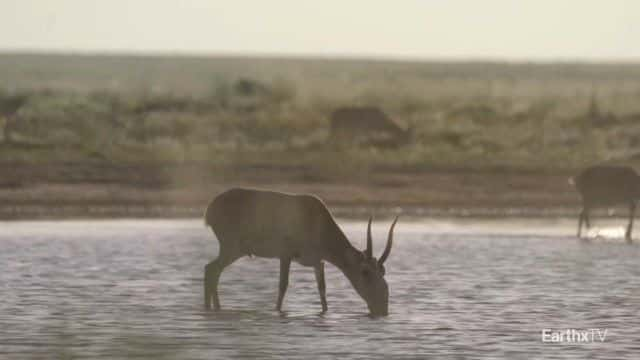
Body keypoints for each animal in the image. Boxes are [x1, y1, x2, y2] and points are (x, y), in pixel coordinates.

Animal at [204, 188, 396, 316]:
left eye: (383, 271)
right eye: (365, 272)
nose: (382, 308)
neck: (318, 222)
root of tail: (211, 207)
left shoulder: (318, 262)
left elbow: (322, 289)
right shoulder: (285, 255)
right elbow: (283, 285)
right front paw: (277, 312)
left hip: (234, 250)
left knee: (212, 270)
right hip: (232, 248)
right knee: (211, 269)